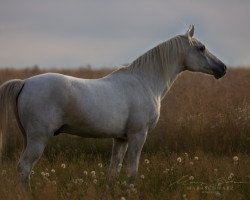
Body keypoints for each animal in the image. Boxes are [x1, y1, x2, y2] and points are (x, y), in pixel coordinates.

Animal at [0, 25, 227, 189]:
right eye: (201, 48)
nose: (222, 68)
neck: (145, 82)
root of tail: (25, 83)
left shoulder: (121, 139)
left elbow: (113, 171)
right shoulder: (138, 135)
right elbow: (132, 171)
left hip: (28, 137)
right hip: (38, 138)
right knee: (24, 168)